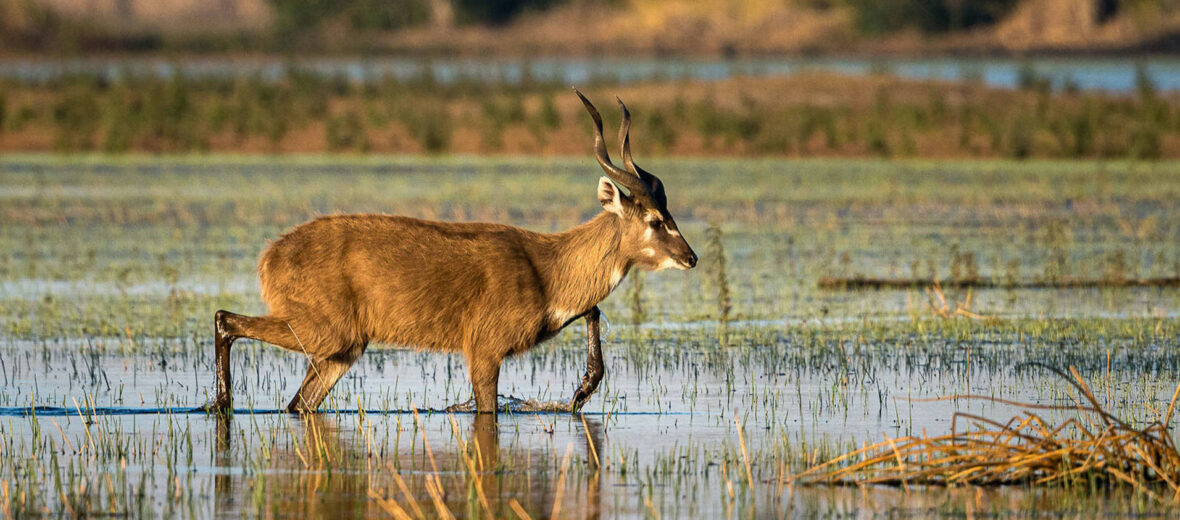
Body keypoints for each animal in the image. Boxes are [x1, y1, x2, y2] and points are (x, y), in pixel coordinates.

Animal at [207, 90, 693, 412]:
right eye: (655, 220)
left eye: (668, 211)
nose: (690, 257)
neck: (545, 268)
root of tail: (271, 255)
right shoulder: (484, 351)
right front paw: (580, 391)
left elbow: (592, 311)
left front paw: (581, 389)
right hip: (324, 331)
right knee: (225, 319)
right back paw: (220, 404)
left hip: (343, 349)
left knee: (298, 403)